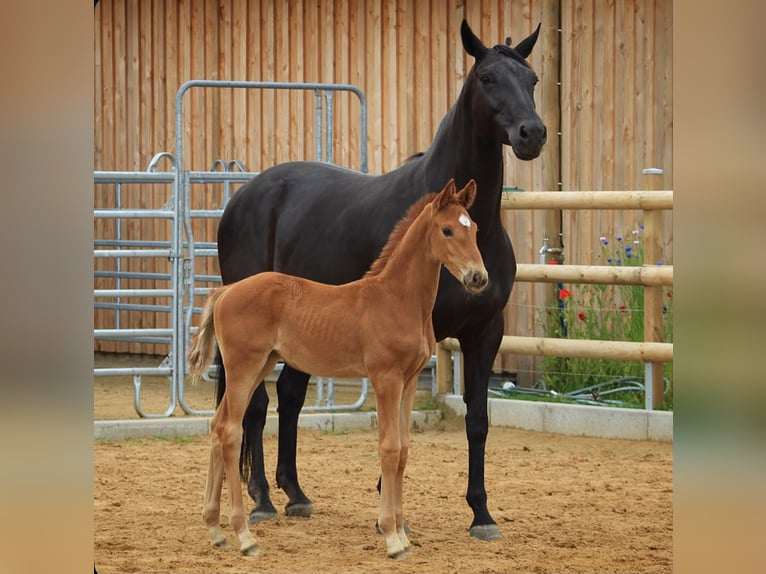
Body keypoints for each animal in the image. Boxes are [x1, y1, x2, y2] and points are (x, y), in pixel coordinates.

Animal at [189, 180, 487, 558]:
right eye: (447, 230)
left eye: (474, 228)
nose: (478, 278)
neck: (396, 301)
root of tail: (225, 292)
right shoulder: (385, 379)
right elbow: (389, 449)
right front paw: (392, 537)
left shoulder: (408, 382)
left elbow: (404, 451)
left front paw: (403, 535)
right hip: (245, 366)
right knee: (229, 431)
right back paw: (244, 536)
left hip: (261, 364)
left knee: (216, 426)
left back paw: (215, 530)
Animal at [212, 19, 546, 541]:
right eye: (487, 77)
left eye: (531, 79)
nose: (532, 133)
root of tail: (244, 197)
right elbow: (394, 432)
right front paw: (385, 510)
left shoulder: (486, 332)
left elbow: (477, 419)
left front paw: (481, 513)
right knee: (254, 405)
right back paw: (263, 499)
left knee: (288, 397)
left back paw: (296, 494)